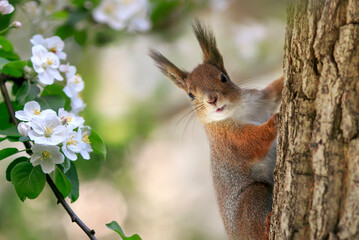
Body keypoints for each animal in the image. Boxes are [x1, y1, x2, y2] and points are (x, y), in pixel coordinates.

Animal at [150, 20, 284, 240]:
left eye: (223, 77)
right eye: (190, 95)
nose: (212, 99)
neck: (238, 110)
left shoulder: (260, 100)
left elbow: (274, 91)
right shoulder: (229, 141)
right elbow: (251, 143)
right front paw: (275, 121)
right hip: (252, 198)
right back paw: (268, 222)